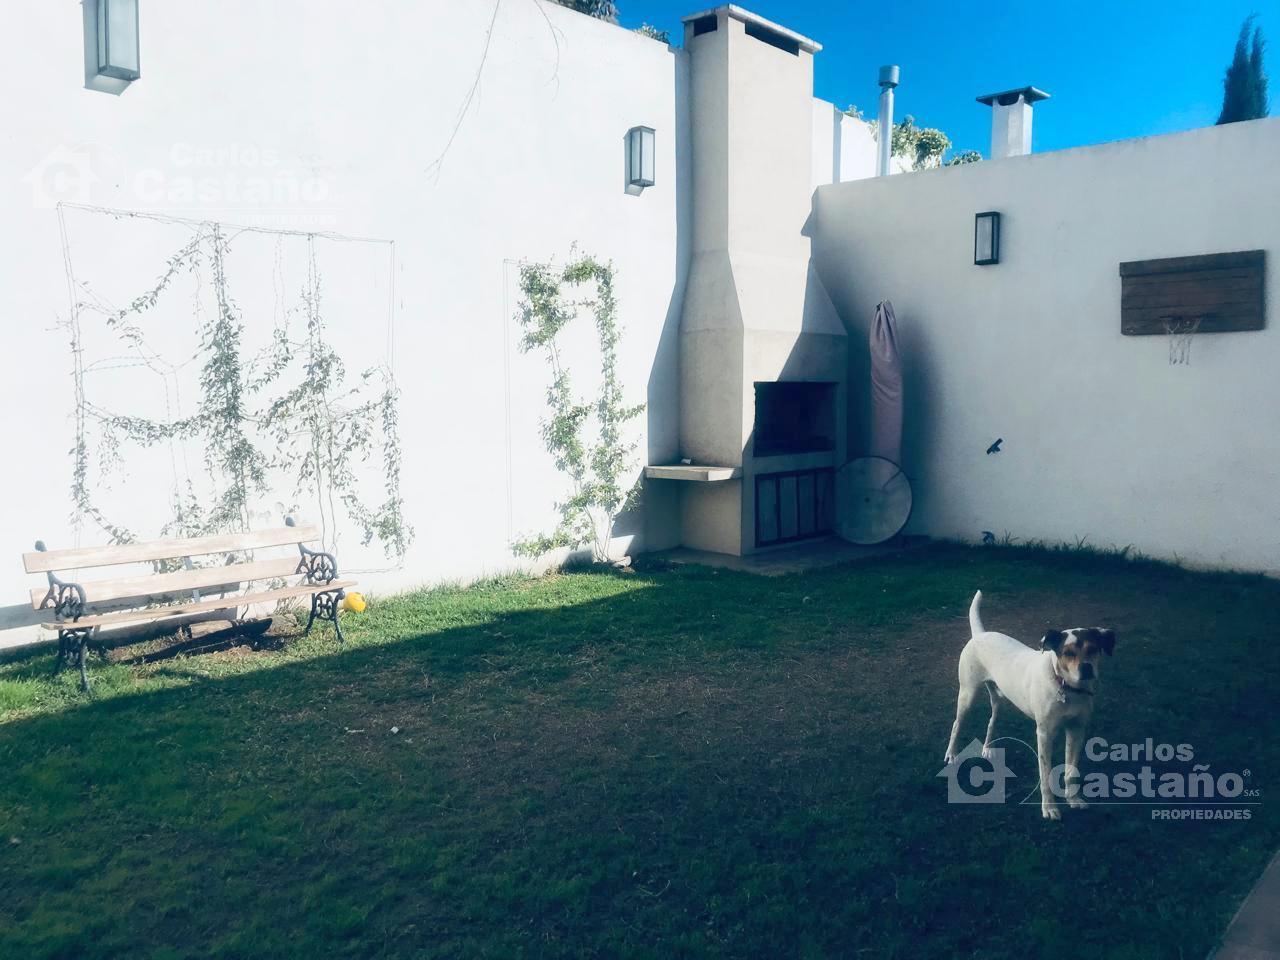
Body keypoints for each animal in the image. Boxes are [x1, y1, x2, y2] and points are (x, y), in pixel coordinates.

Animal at [947, 593, 1116, 819]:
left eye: (1093, 649)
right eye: (1068, 653)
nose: (1086, 668)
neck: (1066, 688)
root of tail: (980, 634)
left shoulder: (1076, 730)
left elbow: (1071, 771)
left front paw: (1073, 799)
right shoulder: (1044, 734)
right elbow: (1045, 776)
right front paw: (1050, 808)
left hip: (999, 699)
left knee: (992, 721)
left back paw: (987, 748)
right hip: (968, 695)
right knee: (957, 724)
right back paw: (951, 754)